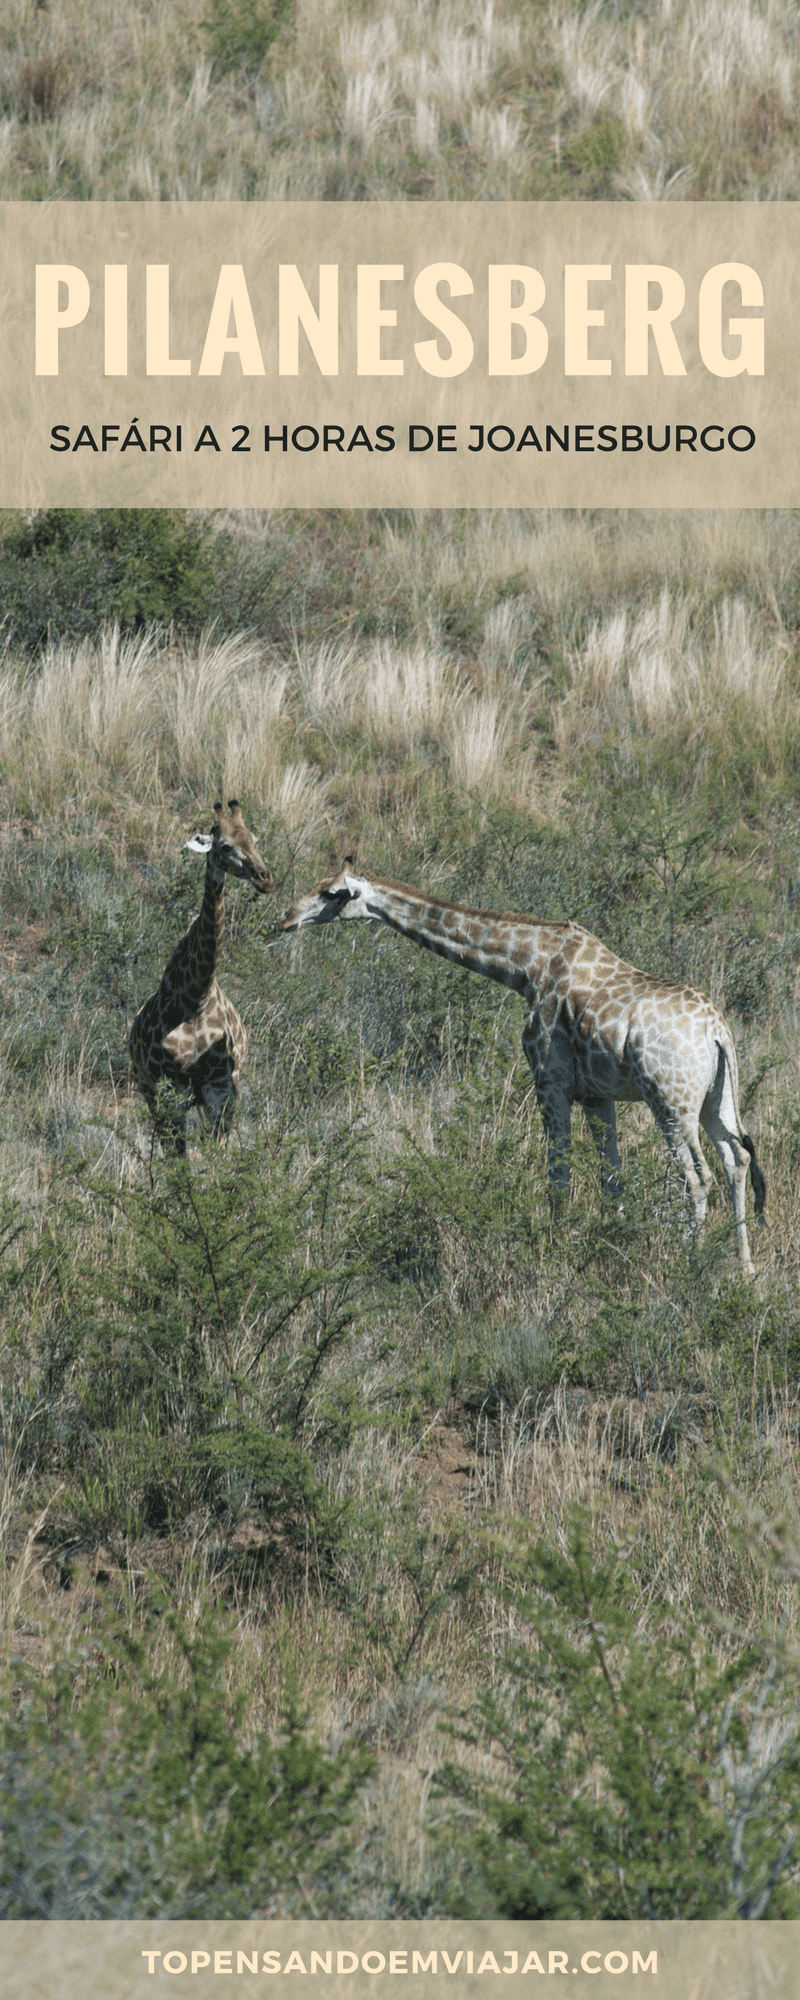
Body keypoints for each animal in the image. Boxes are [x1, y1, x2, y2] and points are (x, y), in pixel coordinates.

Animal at [128, 788, 272, 1152]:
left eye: (255, 840)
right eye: (226, 847)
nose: (265, 879)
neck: (195, 997)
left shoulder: (222, 1088)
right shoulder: (172, 1089)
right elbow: (181, 1160)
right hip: (148, 1090)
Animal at [282, 864, 764, 1272]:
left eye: (330, 893)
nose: (286, 918)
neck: (524, 967)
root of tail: (717, 1031)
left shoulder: (549, 1081)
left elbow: (558, 1177)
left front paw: (555, 1251)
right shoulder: (596, 1093)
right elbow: (610, 1178)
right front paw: (613, 1245)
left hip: (669, 1100)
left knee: (697, 1176)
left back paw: (694, 1263)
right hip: (716, 1098)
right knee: (736, 1159)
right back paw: (745, 1269)